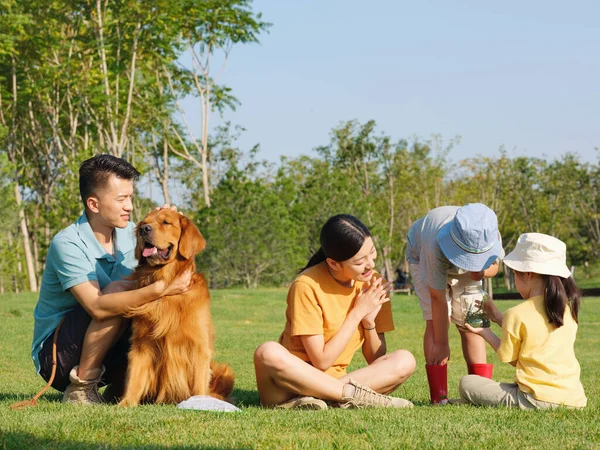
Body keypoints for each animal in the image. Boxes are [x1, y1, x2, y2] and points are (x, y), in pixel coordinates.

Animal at [119, 209, 234, 406]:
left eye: (166, 222)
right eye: (144, 222)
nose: (143, 230)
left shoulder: (199, 346)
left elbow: (199, 383)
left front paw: (200, 403)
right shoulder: (141, 344)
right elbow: (134, 377)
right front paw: (126, 403)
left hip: (225, 372)